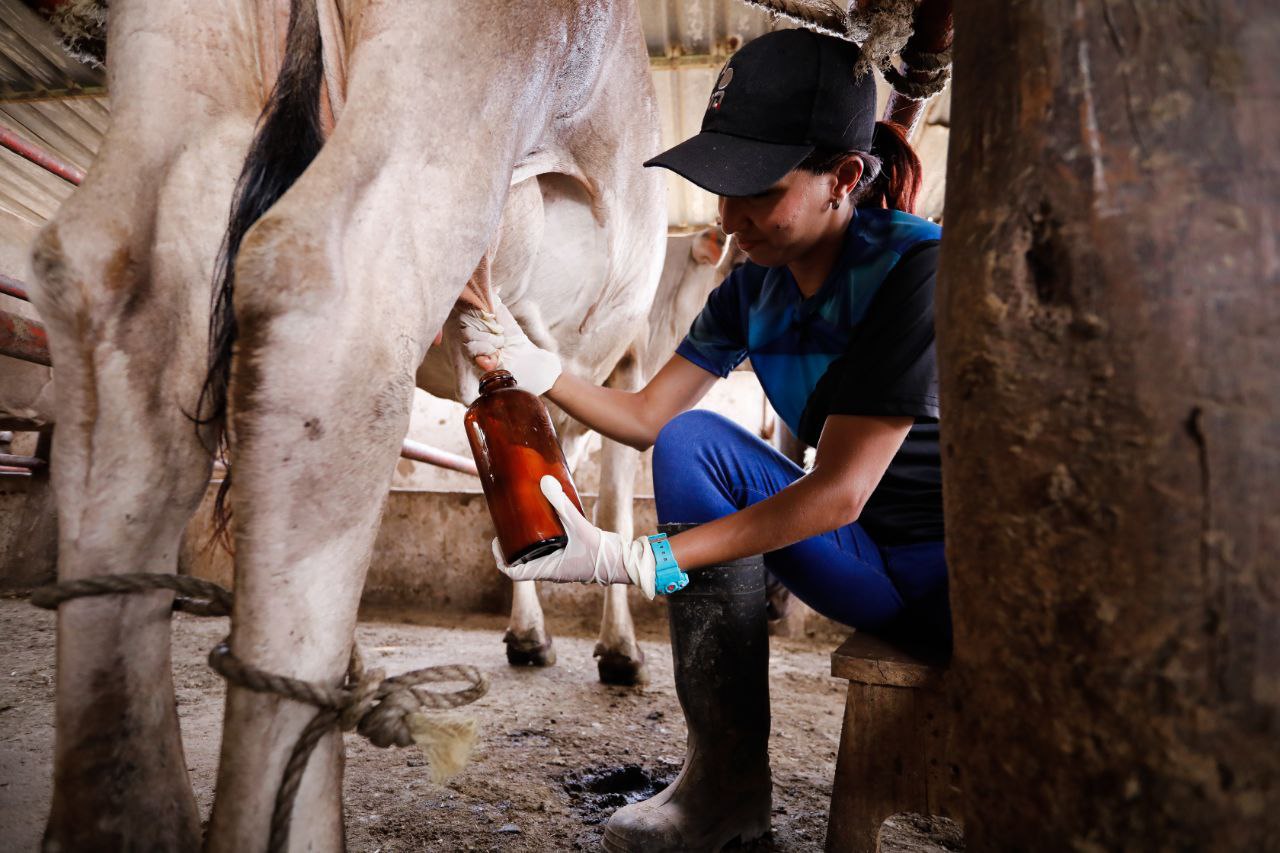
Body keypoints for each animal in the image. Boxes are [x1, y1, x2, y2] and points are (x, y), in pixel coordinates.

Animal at [30, 3, 665, 845]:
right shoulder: (630, 356)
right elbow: (615, 495)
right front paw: (616, 650)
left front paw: (535, 626)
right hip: (456, 95)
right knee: (324, 289)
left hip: (187, 79)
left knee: (113, 290)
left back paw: (126, 816)